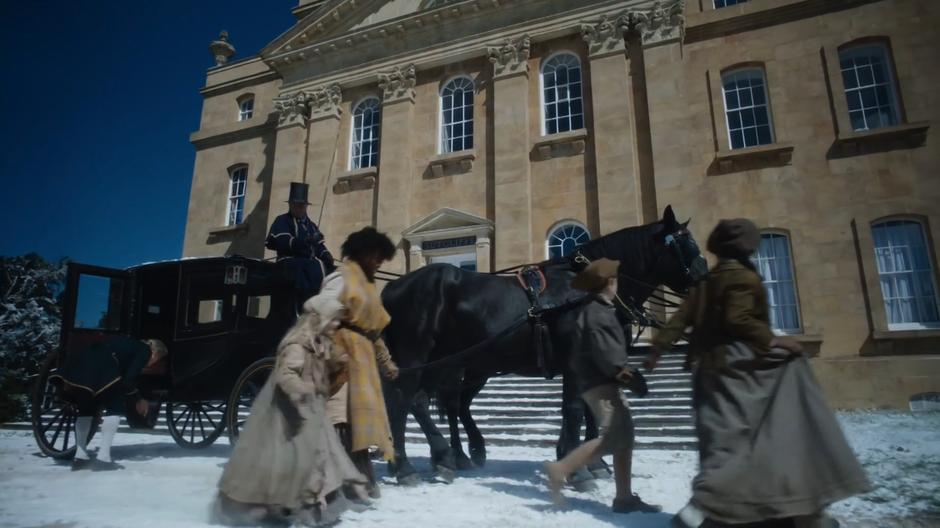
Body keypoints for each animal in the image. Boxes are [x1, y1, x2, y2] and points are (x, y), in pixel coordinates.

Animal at [382, 204, 704, 484]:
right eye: (684, 243)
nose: (704, 277)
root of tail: (392, 286)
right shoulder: (577, 361)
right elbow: (575, 409)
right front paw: (581, 469)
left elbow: (585, 409)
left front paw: (589, 461)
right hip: (418, 357)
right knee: (408, 400)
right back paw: (407, 466)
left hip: (452, 364)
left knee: (439, 402)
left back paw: (450, 457)